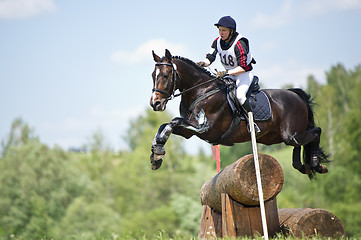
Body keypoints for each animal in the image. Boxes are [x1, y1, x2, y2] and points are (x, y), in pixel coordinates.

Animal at [148, 49, 328, 178]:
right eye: (152, 75)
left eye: (165, 75)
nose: (155, 103)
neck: (202, 90)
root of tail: (296, 95)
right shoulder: (189, 131)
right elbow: (164, 126)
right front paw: (156, 153)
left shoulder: (205, 128)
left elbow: (173, 122)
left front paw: (157, 152)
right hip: (278, 137)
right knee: (300, 143)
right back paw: (302, 165)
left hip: (290, 134)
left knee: (316, 132)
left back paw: (316, 164)